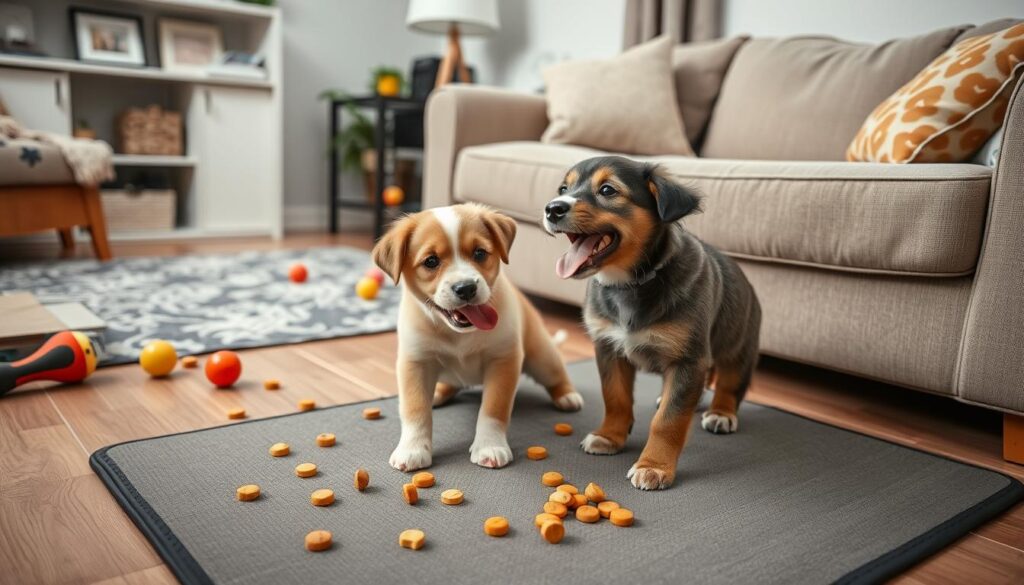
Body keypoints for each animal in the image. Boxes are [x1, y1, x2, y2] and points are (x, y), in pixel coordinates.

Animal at [376, 203, 585, 473]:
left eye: (479, 253)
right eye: (431, 261)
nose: (466, 288)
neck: (458, 335)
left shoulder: (503, 360)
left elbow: (493, 409)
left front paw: (489, 446)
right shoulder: (415, 363)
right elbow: (415, 410)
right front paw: (412, 449)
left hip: (542, 358)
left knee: (557, 375)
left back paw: (567, 396)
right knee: (449, 383)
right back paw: (438, 393)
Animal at [544, 155, 761, 489]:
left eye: (607, 190)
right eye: (563, 189)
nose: (552, 208)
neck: (630, 283)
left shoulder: (688, 360)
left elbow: (669, 421)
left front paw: (655, 466)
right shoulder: (608, 348)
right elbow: (616, 398)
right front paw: (610, 436)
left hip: (739, 346)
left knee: (730, 382)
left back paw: (721, 413)